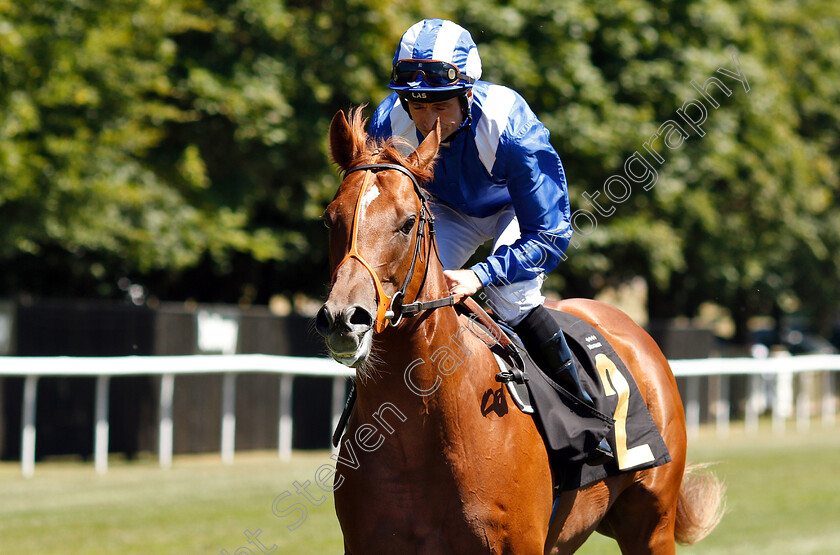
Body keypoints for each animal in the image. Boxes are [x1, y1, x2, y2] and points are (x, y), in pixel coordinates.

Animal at [316, 106, 720, 552]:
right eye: (330, 219)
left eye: (407, 223)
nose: (343, 318)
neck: (417, 433)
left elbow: (546, 232)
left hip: (651, 524)